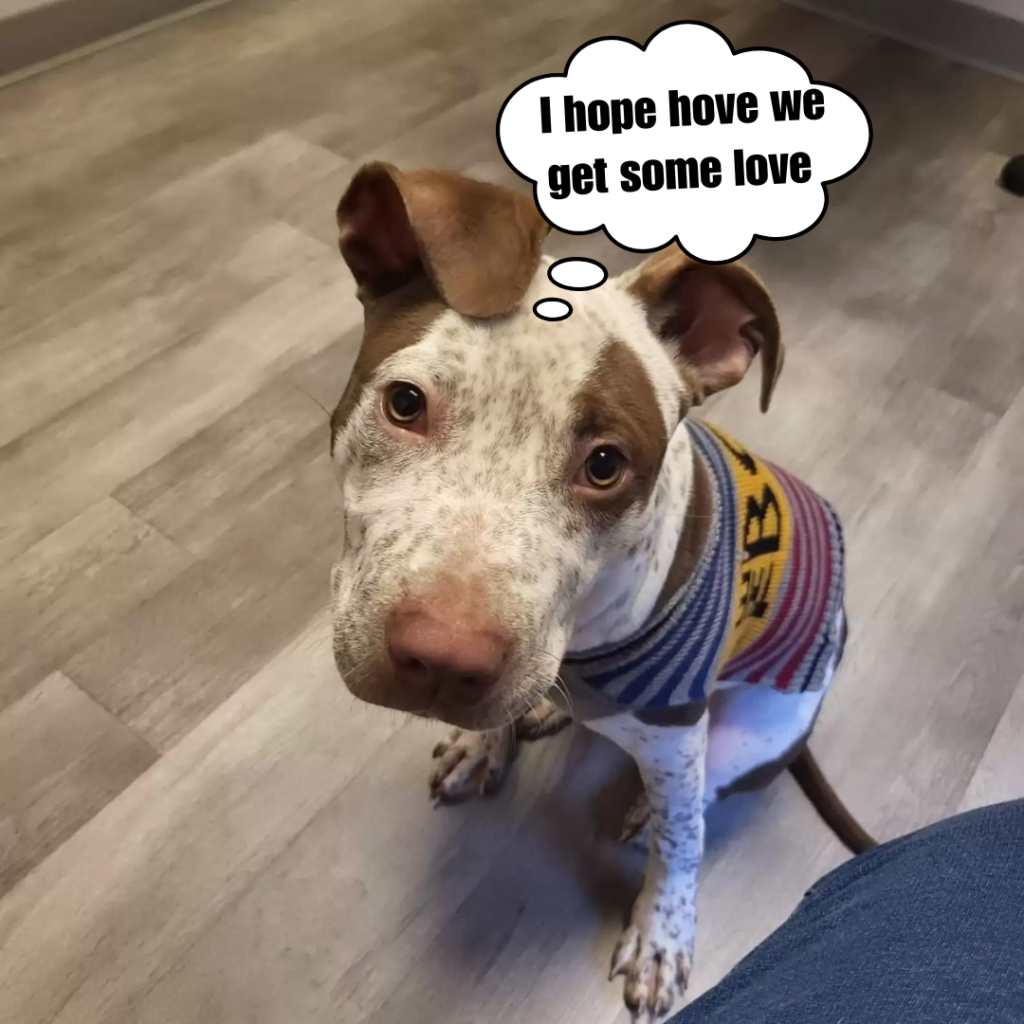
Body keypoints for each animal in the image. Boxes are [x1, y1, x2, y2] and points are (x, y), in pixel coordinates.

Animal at [327, 161, 872, 1015]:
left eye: (607, 464)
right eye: (405, 403)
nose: (443, 662)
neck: (584, 641)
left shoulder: (677, 733)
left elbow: (683, 849)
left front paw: (662, 935)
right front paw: (487, 742)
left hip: (750, 735)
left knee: (701, 801)